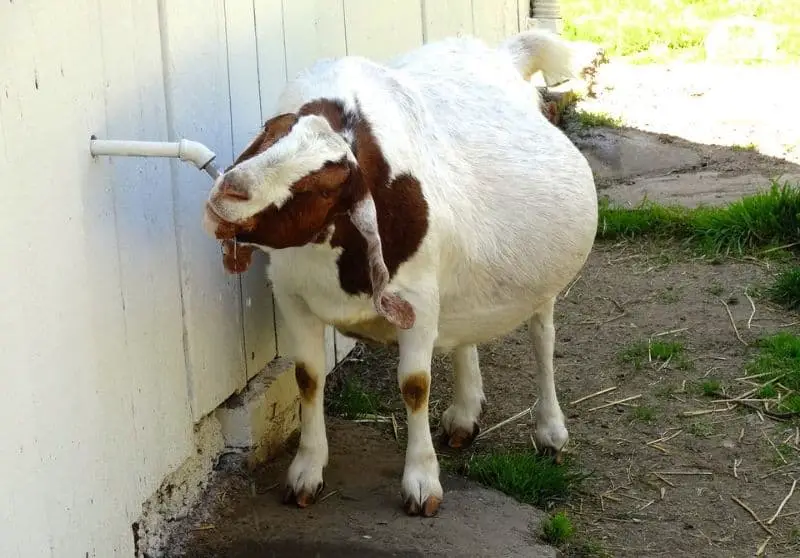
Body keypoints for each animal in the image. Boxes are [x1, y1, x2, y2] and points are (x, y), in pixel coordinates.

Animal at [203, 28, 596, 520]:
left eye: (324, 185)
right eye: (271, 133)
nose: (229, 190)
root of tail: (503, 53)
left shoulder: (418, 303)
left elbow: (415, 386)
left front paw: (422, 481)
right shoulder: (292, 296)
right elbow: (308, 378)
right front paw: (305, 472)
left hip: (540, 280)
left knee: (543, 337)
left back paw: (550, 430)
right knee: (466, 332)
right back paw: (465, 413)